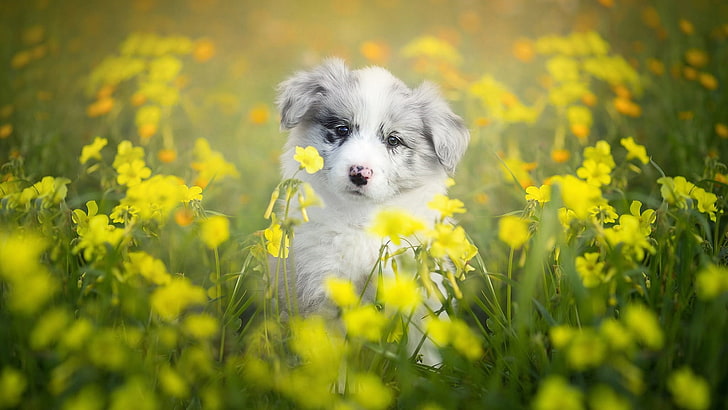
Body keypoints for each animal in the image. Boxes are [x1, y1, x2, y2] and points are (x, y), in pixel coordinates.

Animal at [274, 58, 472, 362]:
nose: (360, 173)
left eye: (393, 140)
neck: (362, 220)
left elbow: (425, 350)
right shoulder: (321, 293)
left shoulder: (419, 292)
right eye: (342, 129)